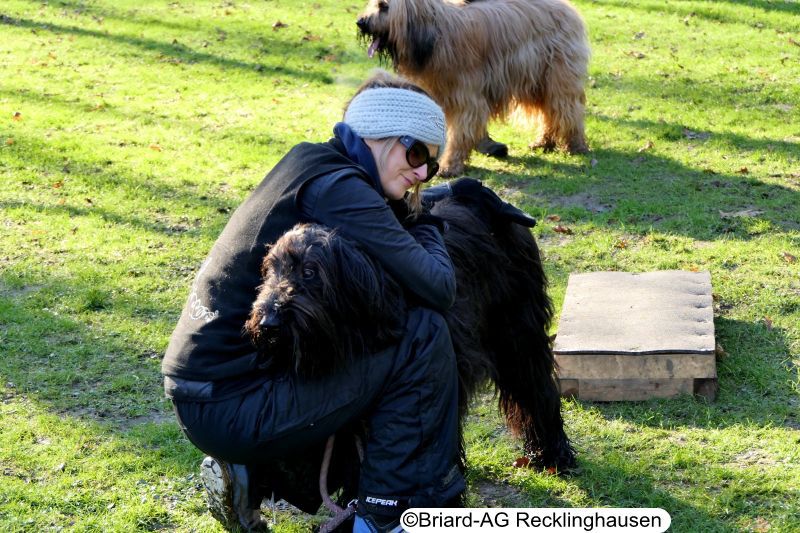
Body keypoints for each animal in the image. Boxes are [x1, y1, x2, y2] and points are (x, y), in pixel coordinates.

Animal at [245, 196, 575, 476]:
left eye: (310, 272)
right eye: (271, 270)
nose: (269, 322)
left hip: (517, 331)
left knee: (535, 386)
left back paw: (551, 454)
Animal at [356, 0, 590, 176]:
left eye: (384, 5)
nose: (360, 22)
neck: (436, 37)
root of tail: (567, 7)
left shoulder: (466, 97)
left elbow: (461, 132)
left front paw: (450, 165)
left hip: (558, 75)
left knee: (566, 108)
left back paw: (575, 146)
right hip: (536, 81)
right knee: (549, 111)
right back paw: (545, 142)